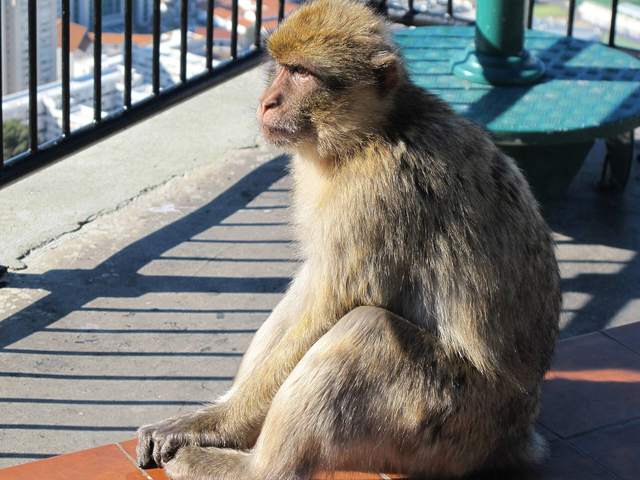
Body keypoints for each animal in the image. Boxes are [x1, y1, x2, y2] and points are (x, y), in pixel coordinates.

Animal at [136, 0, 561, 478]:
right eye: (282, 68)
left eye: (303, 74)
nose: (267, 102)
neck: (368, 136)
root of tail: (517, 434)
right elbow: (315, 290)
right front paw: (210, 418)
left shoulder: (377, 194)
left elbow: (336, 304)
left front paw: (216, 425)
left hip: (448, 425)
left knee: (367, 327)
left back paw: (253, 469)